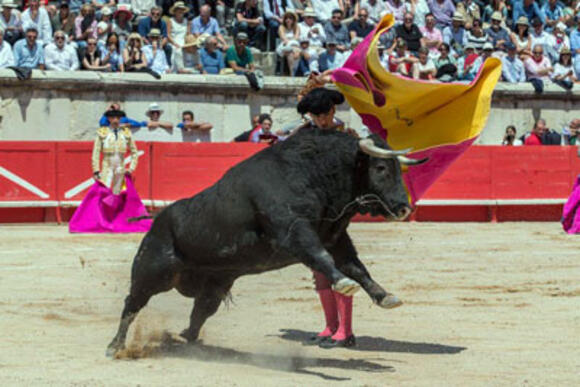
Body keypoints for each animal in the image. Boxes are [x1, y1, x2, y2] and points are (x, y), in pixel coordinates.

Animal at [107, 130, 426, 358]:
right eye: (381, 167)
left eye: (398, 169)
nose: (403, 208)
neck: (312, 173)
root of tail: (159, 218)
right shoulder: (294, 230)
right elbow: (322, 258)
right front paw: (344, 283)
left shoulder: (335, 238)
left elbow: (357, 268)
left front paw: (384, 296)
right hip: (151, 271)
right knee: (132, 304)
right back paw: (116, 346)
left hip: (214, 285)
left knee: (199, 313)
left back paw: (187, 340)